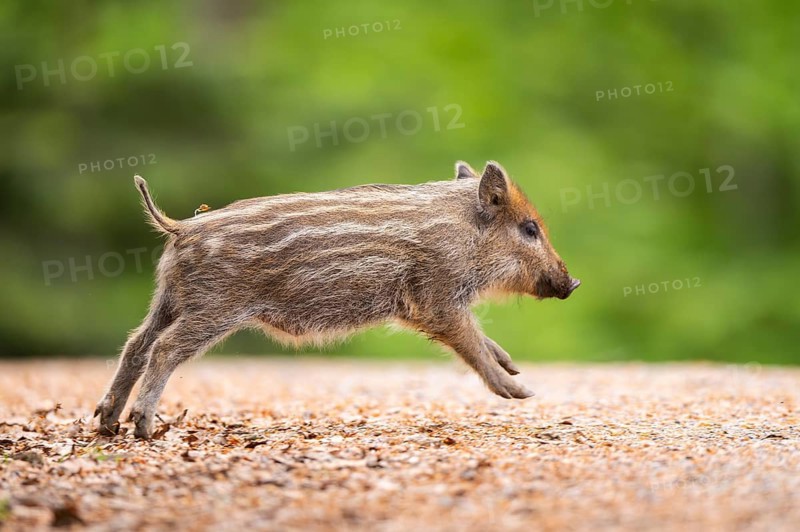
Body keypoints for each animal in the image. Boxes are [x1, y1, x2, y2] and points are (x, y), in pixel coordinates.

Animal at [95, 161, 580, 438]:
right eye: (529, 229)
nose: (572, 283)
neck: (464, 235)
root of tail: (180, 227)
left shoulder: (419, 308)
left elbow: (482, 342)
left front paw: (513, 367)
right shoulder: (435, 300)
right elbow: (473, 345)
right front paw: (521, 391)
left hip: (170, 299)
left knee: (136, 344)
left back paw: (107, 423)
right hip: (213, 307)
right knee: (164, 349)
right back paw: (143, 428)